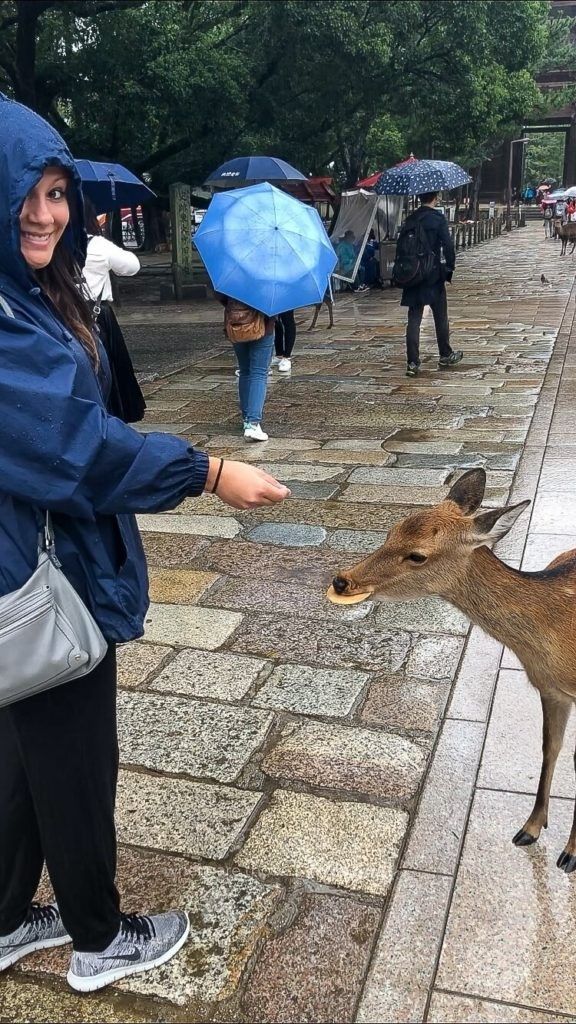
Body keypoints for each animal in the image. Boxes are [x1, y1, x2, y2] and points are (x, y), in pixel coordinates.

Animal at [327, 468, 576, 872]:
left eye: (417, 555)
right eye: (391, 531)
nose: (342, 580)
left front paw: (570, 853)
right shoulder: (549, 689)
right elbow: (549, 748)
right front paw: (531, 828)